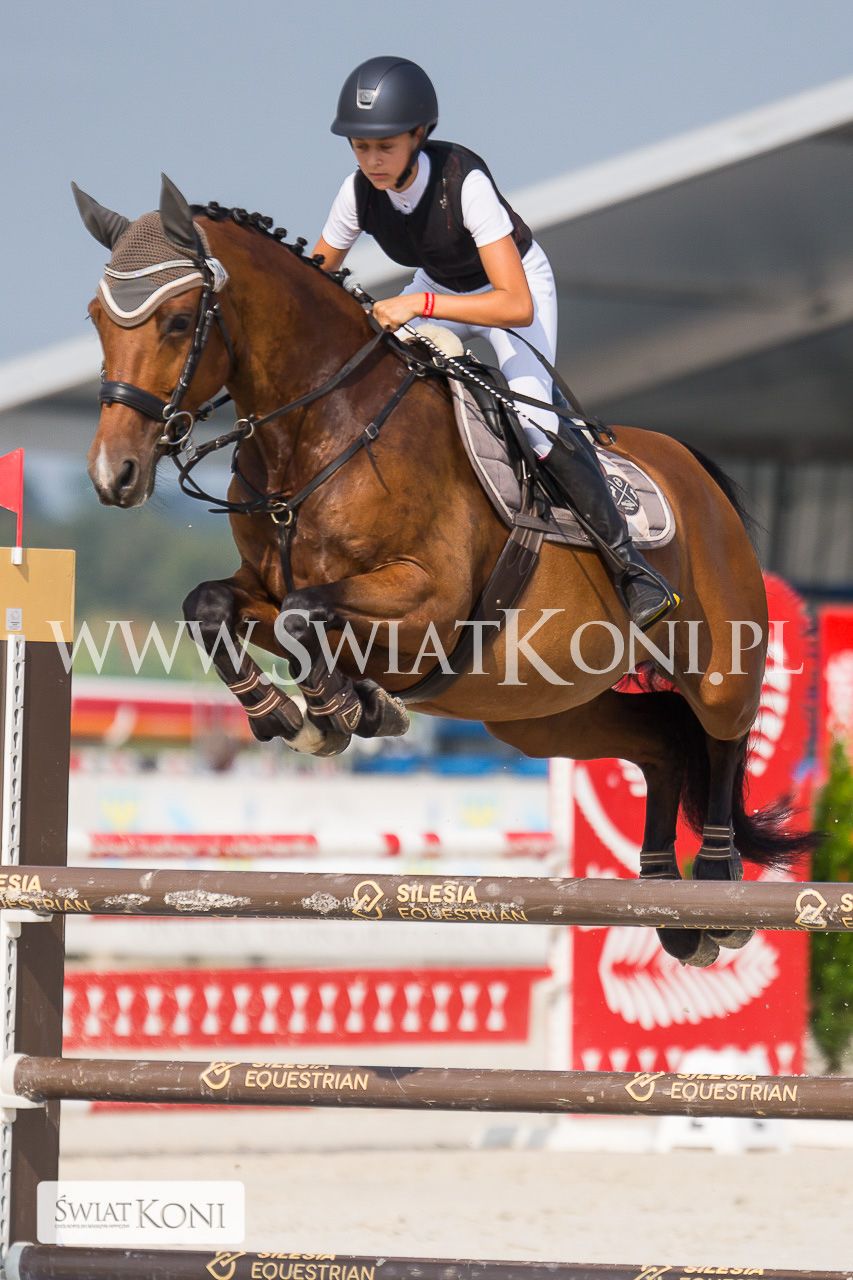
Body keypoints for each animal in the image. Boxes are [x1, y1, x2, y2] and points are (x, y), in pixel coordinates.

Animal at [73, 174, 815, 968]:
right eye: (97, 318)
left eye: (179, 321)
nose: (113, 474)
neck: (321, 429)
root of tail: (696, 470)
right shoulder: (266, 591)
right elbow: (214, 605)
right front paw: (300, 713)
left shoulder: (426, 602)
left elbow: (309, 613)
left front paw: (342, 710)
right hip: (544, 711)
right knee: (665, 740)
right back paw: (669, 907)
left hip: (716, 658)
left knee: (721, 732)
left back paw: (718, 887)